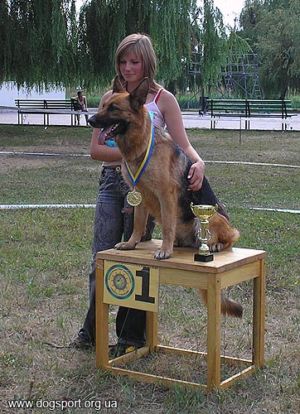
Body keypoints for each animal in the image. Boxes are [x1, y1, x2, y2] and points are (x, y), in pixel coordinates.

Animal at [88, 77, 243, 316]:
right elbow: (137, 225)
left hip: (206, 219)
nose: (90, 119)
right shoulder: (140, 195)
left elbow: (168, 226)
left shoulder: (166, 195)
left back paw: (215, 245)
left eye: (114, 108)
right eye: (103, 105)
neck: (141, 145)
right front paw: (131, 244)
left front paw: (165, 251)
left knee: (230, 237)